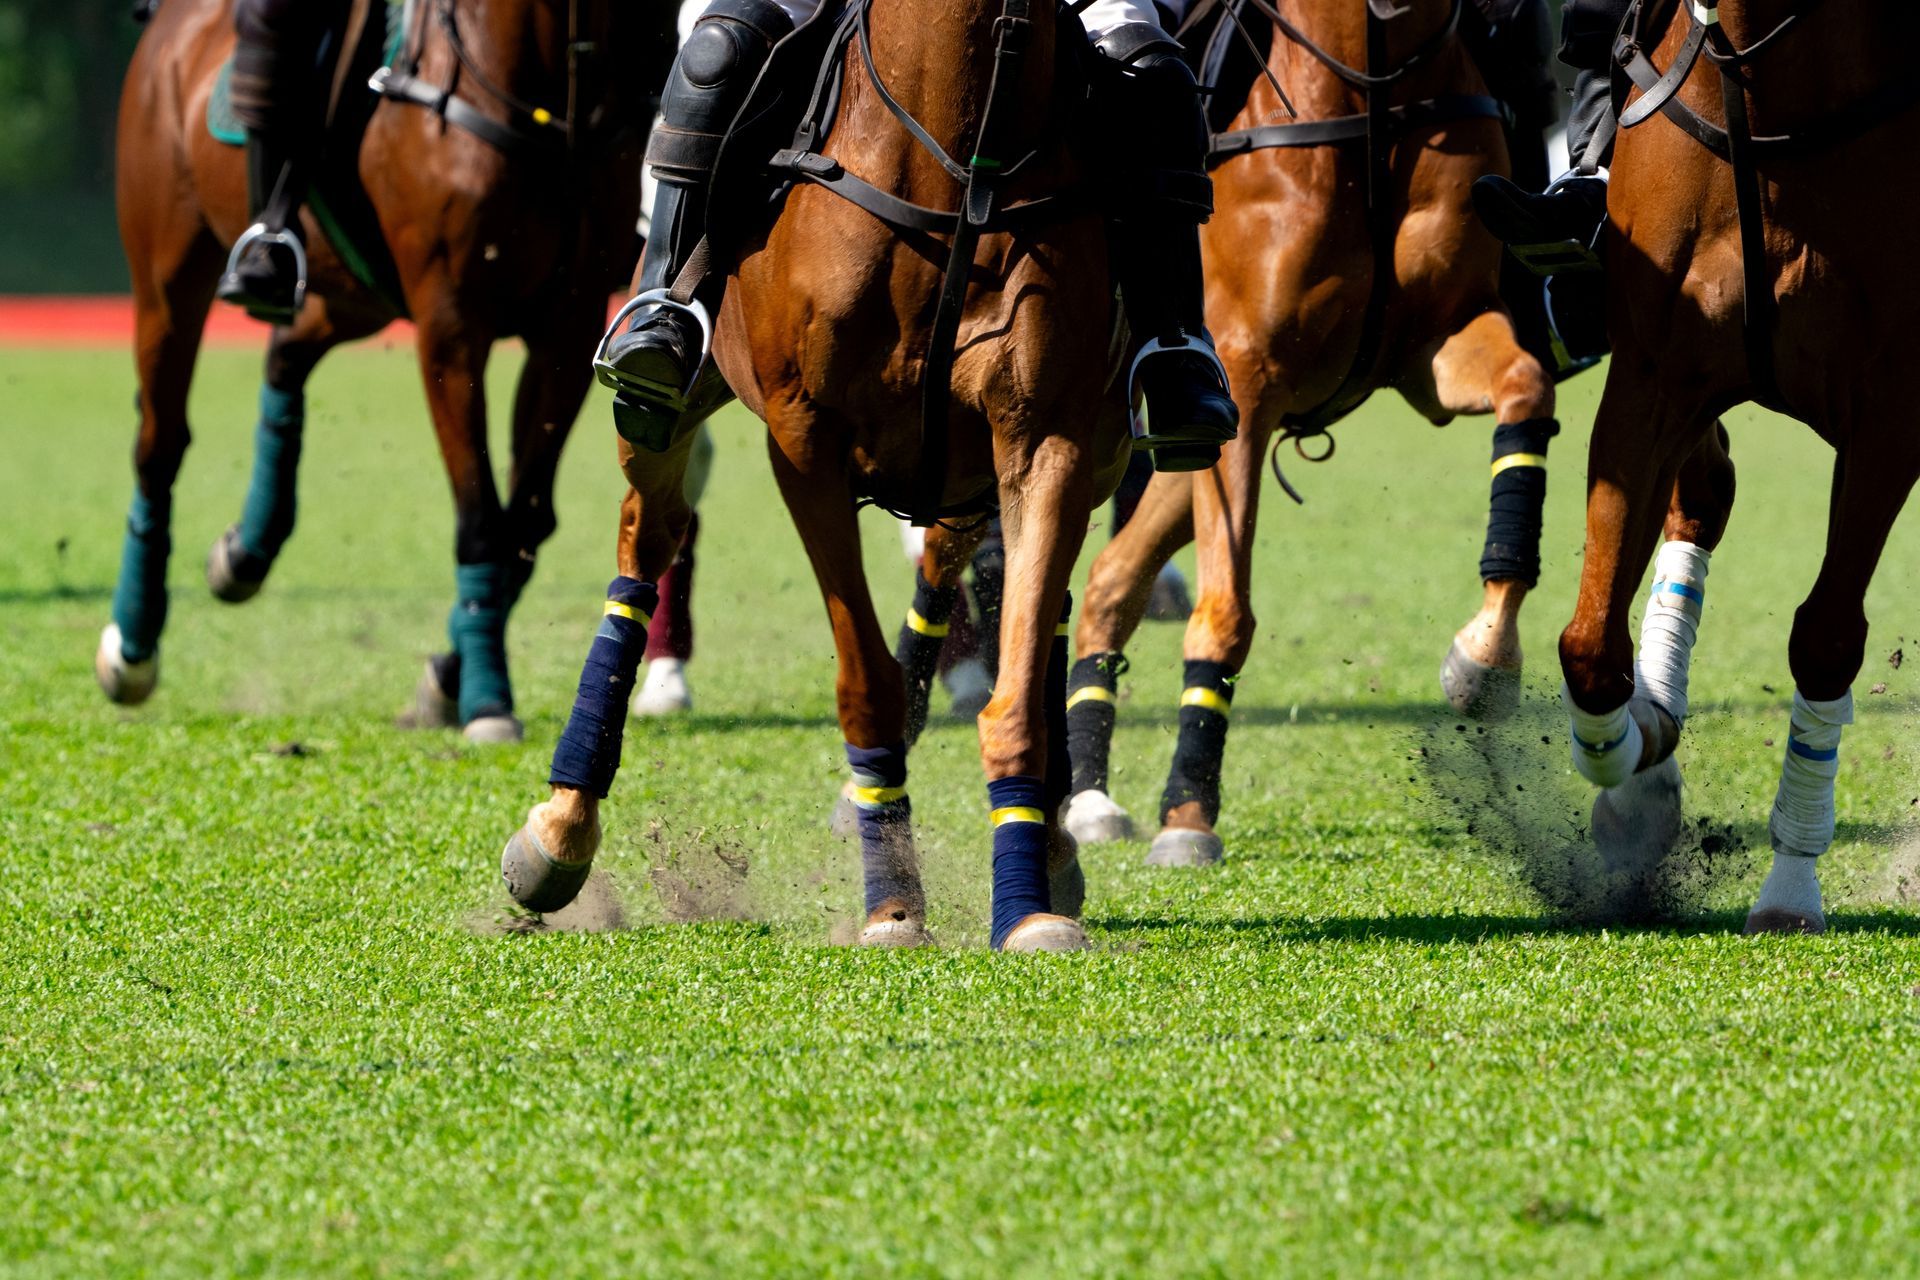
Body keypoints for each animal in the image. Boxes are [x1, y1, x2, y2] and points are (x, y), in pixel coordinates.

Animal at [95, 0, 658, 741]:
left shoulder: (568, 324)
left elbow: (525, 524)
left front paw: (446, 680)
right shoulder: (451, 324)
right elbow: (481, 518)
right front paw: (486, 699)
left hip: (352, 290)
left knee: (286, 355)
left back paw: (245, 552)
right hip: (167, 276)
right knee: (158, 445)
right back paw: (130, 647)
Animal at [499, 0, 1132, 951]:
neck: (959, 162)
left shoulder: (1045, 439)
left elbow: (1017, 688)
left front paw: (1025, 906)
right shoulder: (804, 444)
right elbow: (866, 682)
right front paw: (893, 903)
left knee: (1033, 605)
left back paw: (1053, 850)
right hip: (670, 398)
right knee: (646, 542)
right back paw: (561, 830)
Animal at [1061, 0, 1560, 865]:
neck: (1376, 91)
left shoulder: (1438, 344)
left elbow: (1523, 394)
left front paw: (1486, 657)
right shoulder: (1247, 380)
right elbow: (1226, 612)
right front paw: (1189, 813)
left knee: (1110, 579)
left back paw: (1089, 794)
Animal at [1555, 0, 1920, 933]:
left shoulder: (1893, 408)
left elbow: (1826, 636)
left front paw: (1790, 885)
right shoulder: (1653, 380)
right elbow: (1591, 647)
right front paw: (1640, 781)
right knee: (1704, 498)